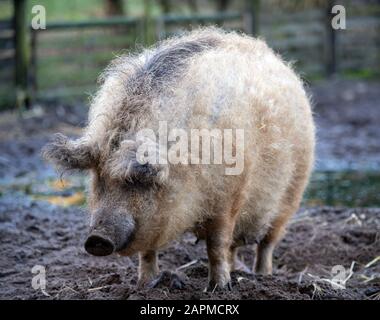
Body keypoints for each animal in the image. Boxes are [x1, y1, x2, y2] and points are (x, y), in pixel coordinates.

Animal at [42, 27, 314, 292]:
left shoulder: (228, 198)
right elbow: (147, 252)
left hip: (291, 195)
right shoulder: (154, 219)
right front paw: (144, 286)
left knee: (266, 243)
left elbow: (216, 246)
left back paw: (262, 276)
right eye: (99, 178)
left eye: (136, 181)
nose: (96, 239)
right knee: (236, 247)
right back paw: (240, 272)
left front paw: (217, 289)